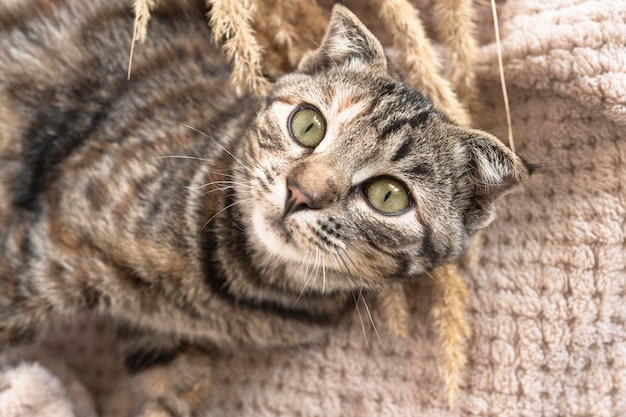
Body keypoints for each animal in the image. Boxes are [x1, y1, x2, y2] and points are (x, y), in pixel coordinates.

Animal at [0, 1, 528, 414]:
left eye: (388, 196)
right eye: (309, 124)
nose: (301, 192)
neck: (229, 289)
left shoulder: (164, 347)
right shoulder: (48, 252)